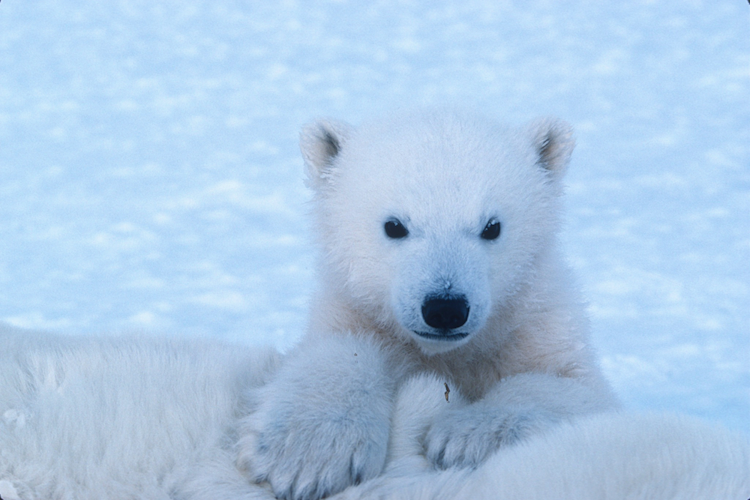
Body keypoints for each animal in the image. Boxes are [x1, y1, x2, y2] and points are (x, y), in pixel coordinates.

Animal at [237, 109, 620, 500]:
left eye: (492, 227)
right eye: (394, 225)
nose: (445, 309)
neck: (445, 354)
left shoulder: (536, 325)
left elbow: (572, 388)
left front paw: (466, 437)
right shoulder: (353, 313)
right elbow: (337, 350)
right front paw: (308, 454)